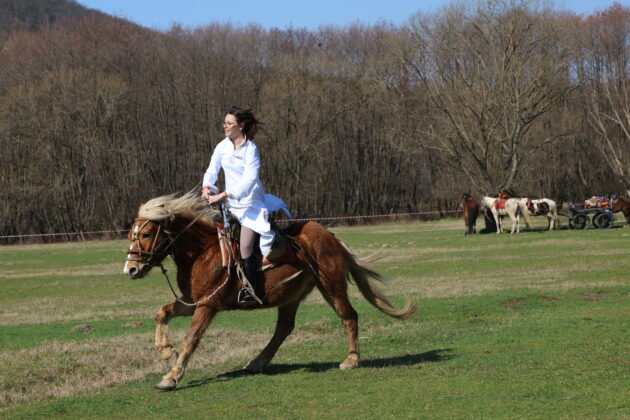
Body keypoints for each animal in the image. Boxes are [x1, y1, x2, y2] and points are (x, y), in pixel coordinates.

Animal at [123, 192, 416, 391]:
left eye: (146, 234)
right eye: (130, 235)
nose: (131, 269)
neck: (202, 253)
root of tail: (331, 237)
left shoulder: (208, 304)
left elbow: (191, 339)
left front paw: (171, 376)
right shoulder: (193, 301)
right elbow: (162, 313)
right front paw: (166, 352)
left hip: (331, 286)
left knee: (349, 316)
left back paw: (352, 360)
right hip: (291, 295)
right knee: (284, 328)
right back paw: (257, 362)